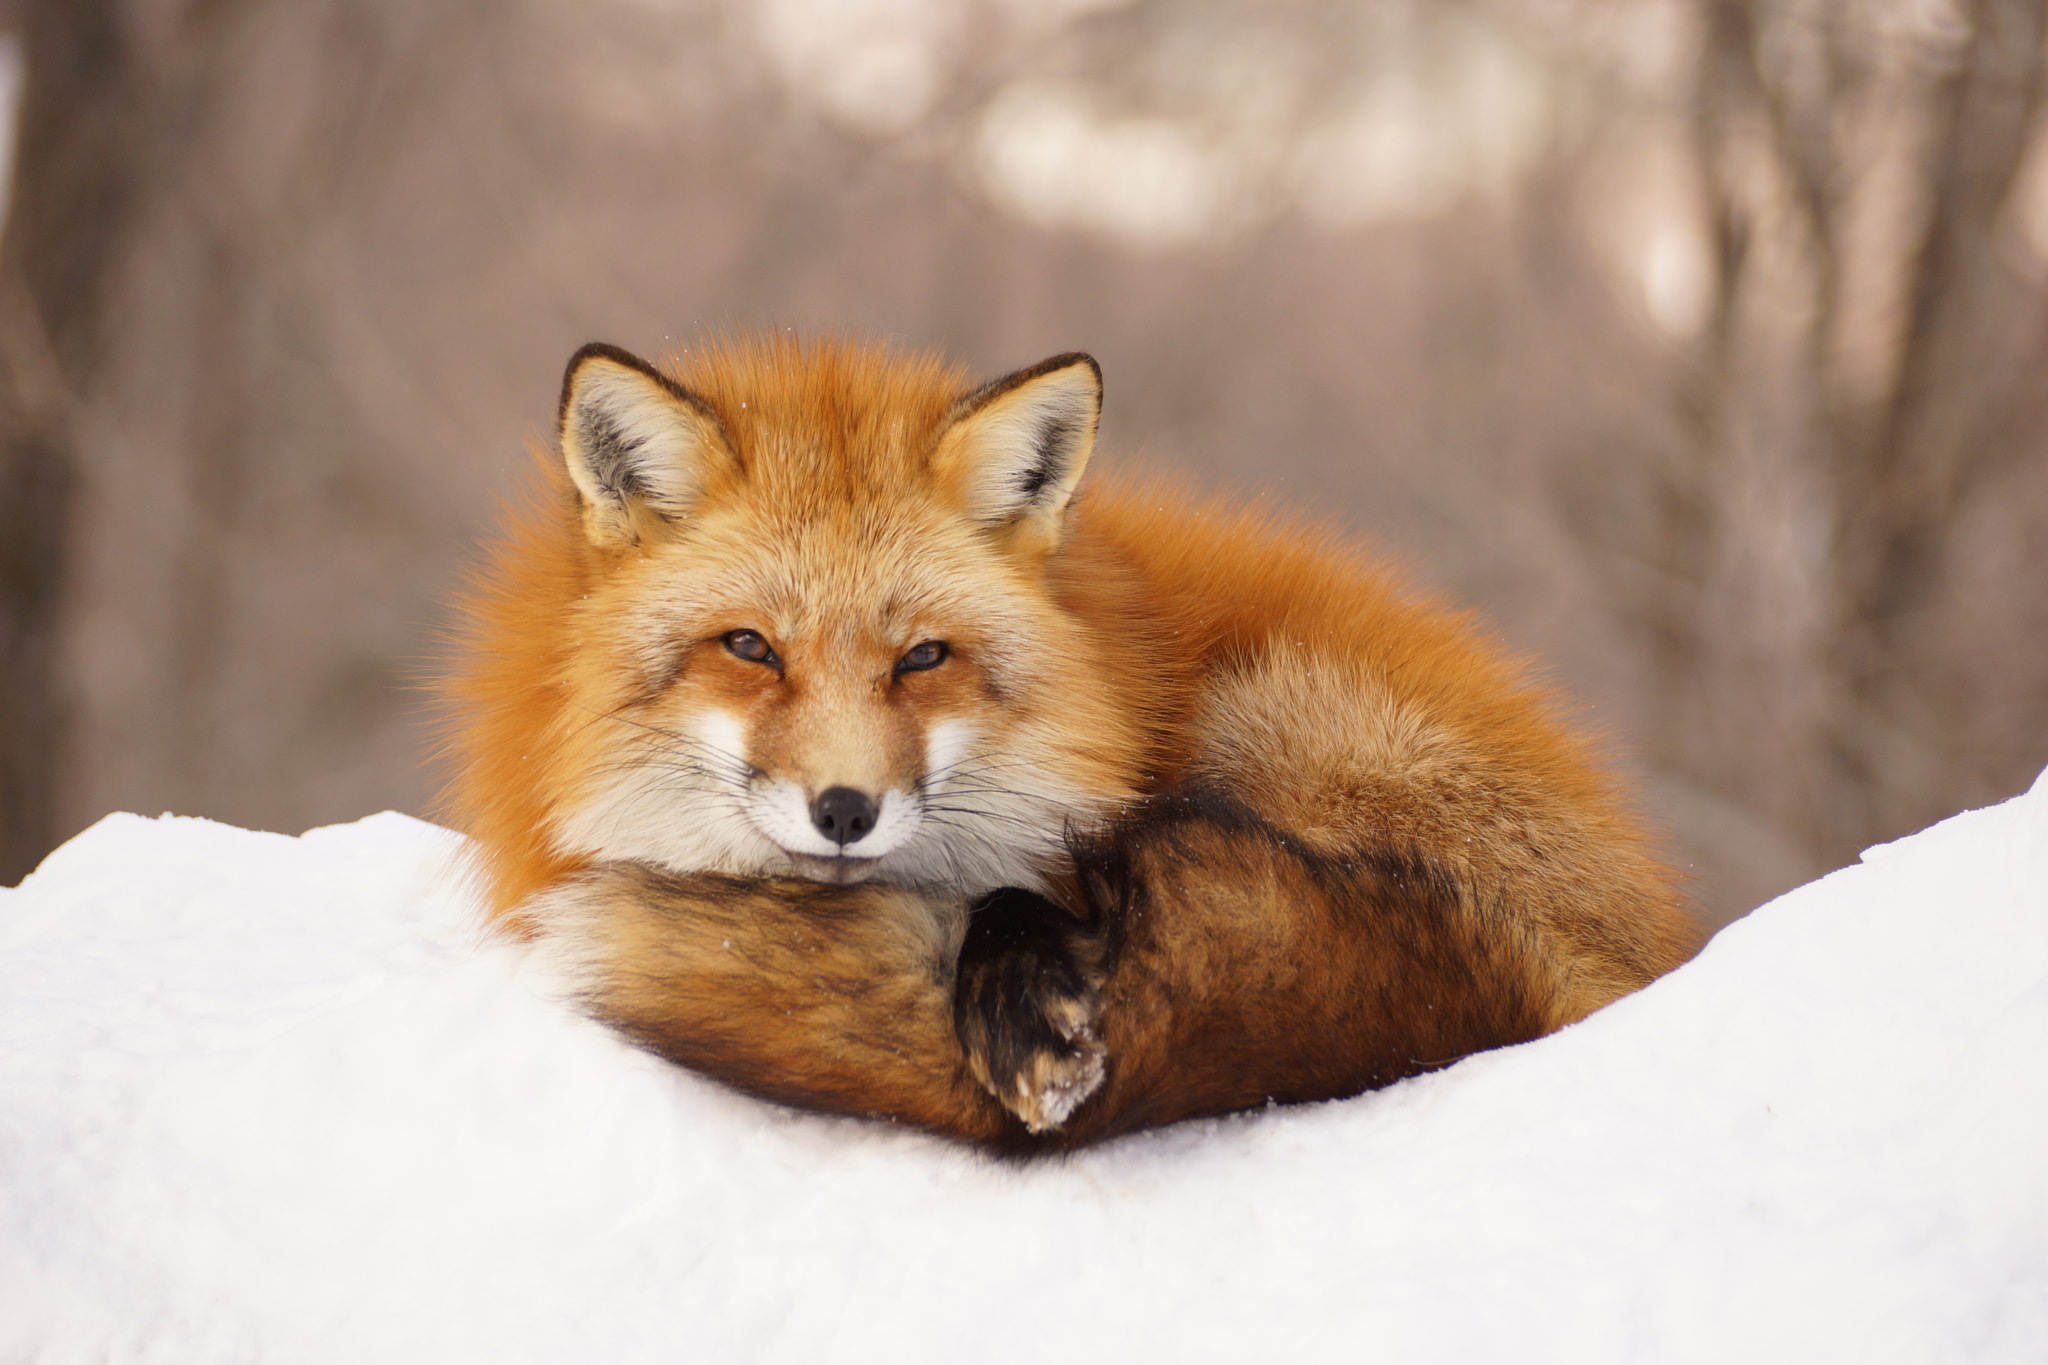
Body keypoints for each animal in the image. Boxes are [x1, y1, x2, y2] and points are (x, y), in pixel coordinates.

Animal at [441, 332, 1701, 1153]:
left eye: (922, 659)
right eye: (749, 648)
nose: (844, 810)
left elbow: (1042, 889)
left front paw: (1026, 1002)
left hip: (1276, 713)